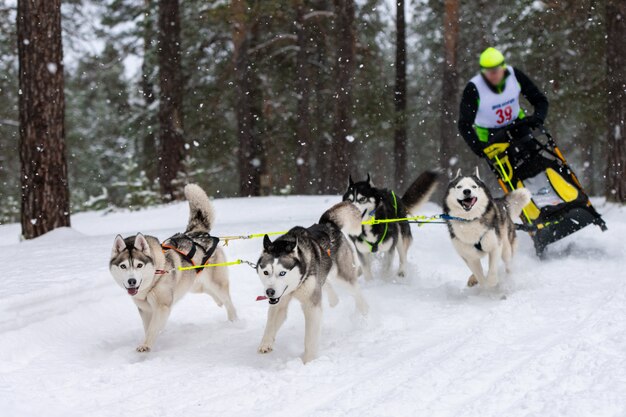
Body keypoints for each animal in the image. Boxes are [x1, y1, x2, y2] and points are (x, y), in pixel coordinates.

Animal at [108, 184, 235, 350]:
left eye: (139, 265)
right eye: (123, 266)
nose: (132, 281)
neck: (153, 279)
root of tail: (197, 233)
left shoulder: (162, 307)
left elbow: (153, 328)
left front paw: (146, 345)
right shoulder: (145, 310)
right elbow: (148, 327)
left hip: (217, 283)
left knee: (228, 301)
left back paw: (234, 321)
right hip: (193, 285)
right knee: (208, 291)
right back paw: (218, 302)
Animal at [256, 201, 368, 360]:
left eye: (282, 273)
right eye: (266, 272)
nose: (269, 292)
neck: (295, 287)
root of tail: (328, 223)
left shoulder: (311, 306)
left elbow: (310, 338)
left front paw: (308, 360)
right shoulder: (280, 301)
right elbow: (272, 321)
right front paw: (266, 342)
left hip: (342, 276)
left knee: (355, 290)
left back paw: (364, 311)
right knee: (325, 282)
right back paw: (334, 299)